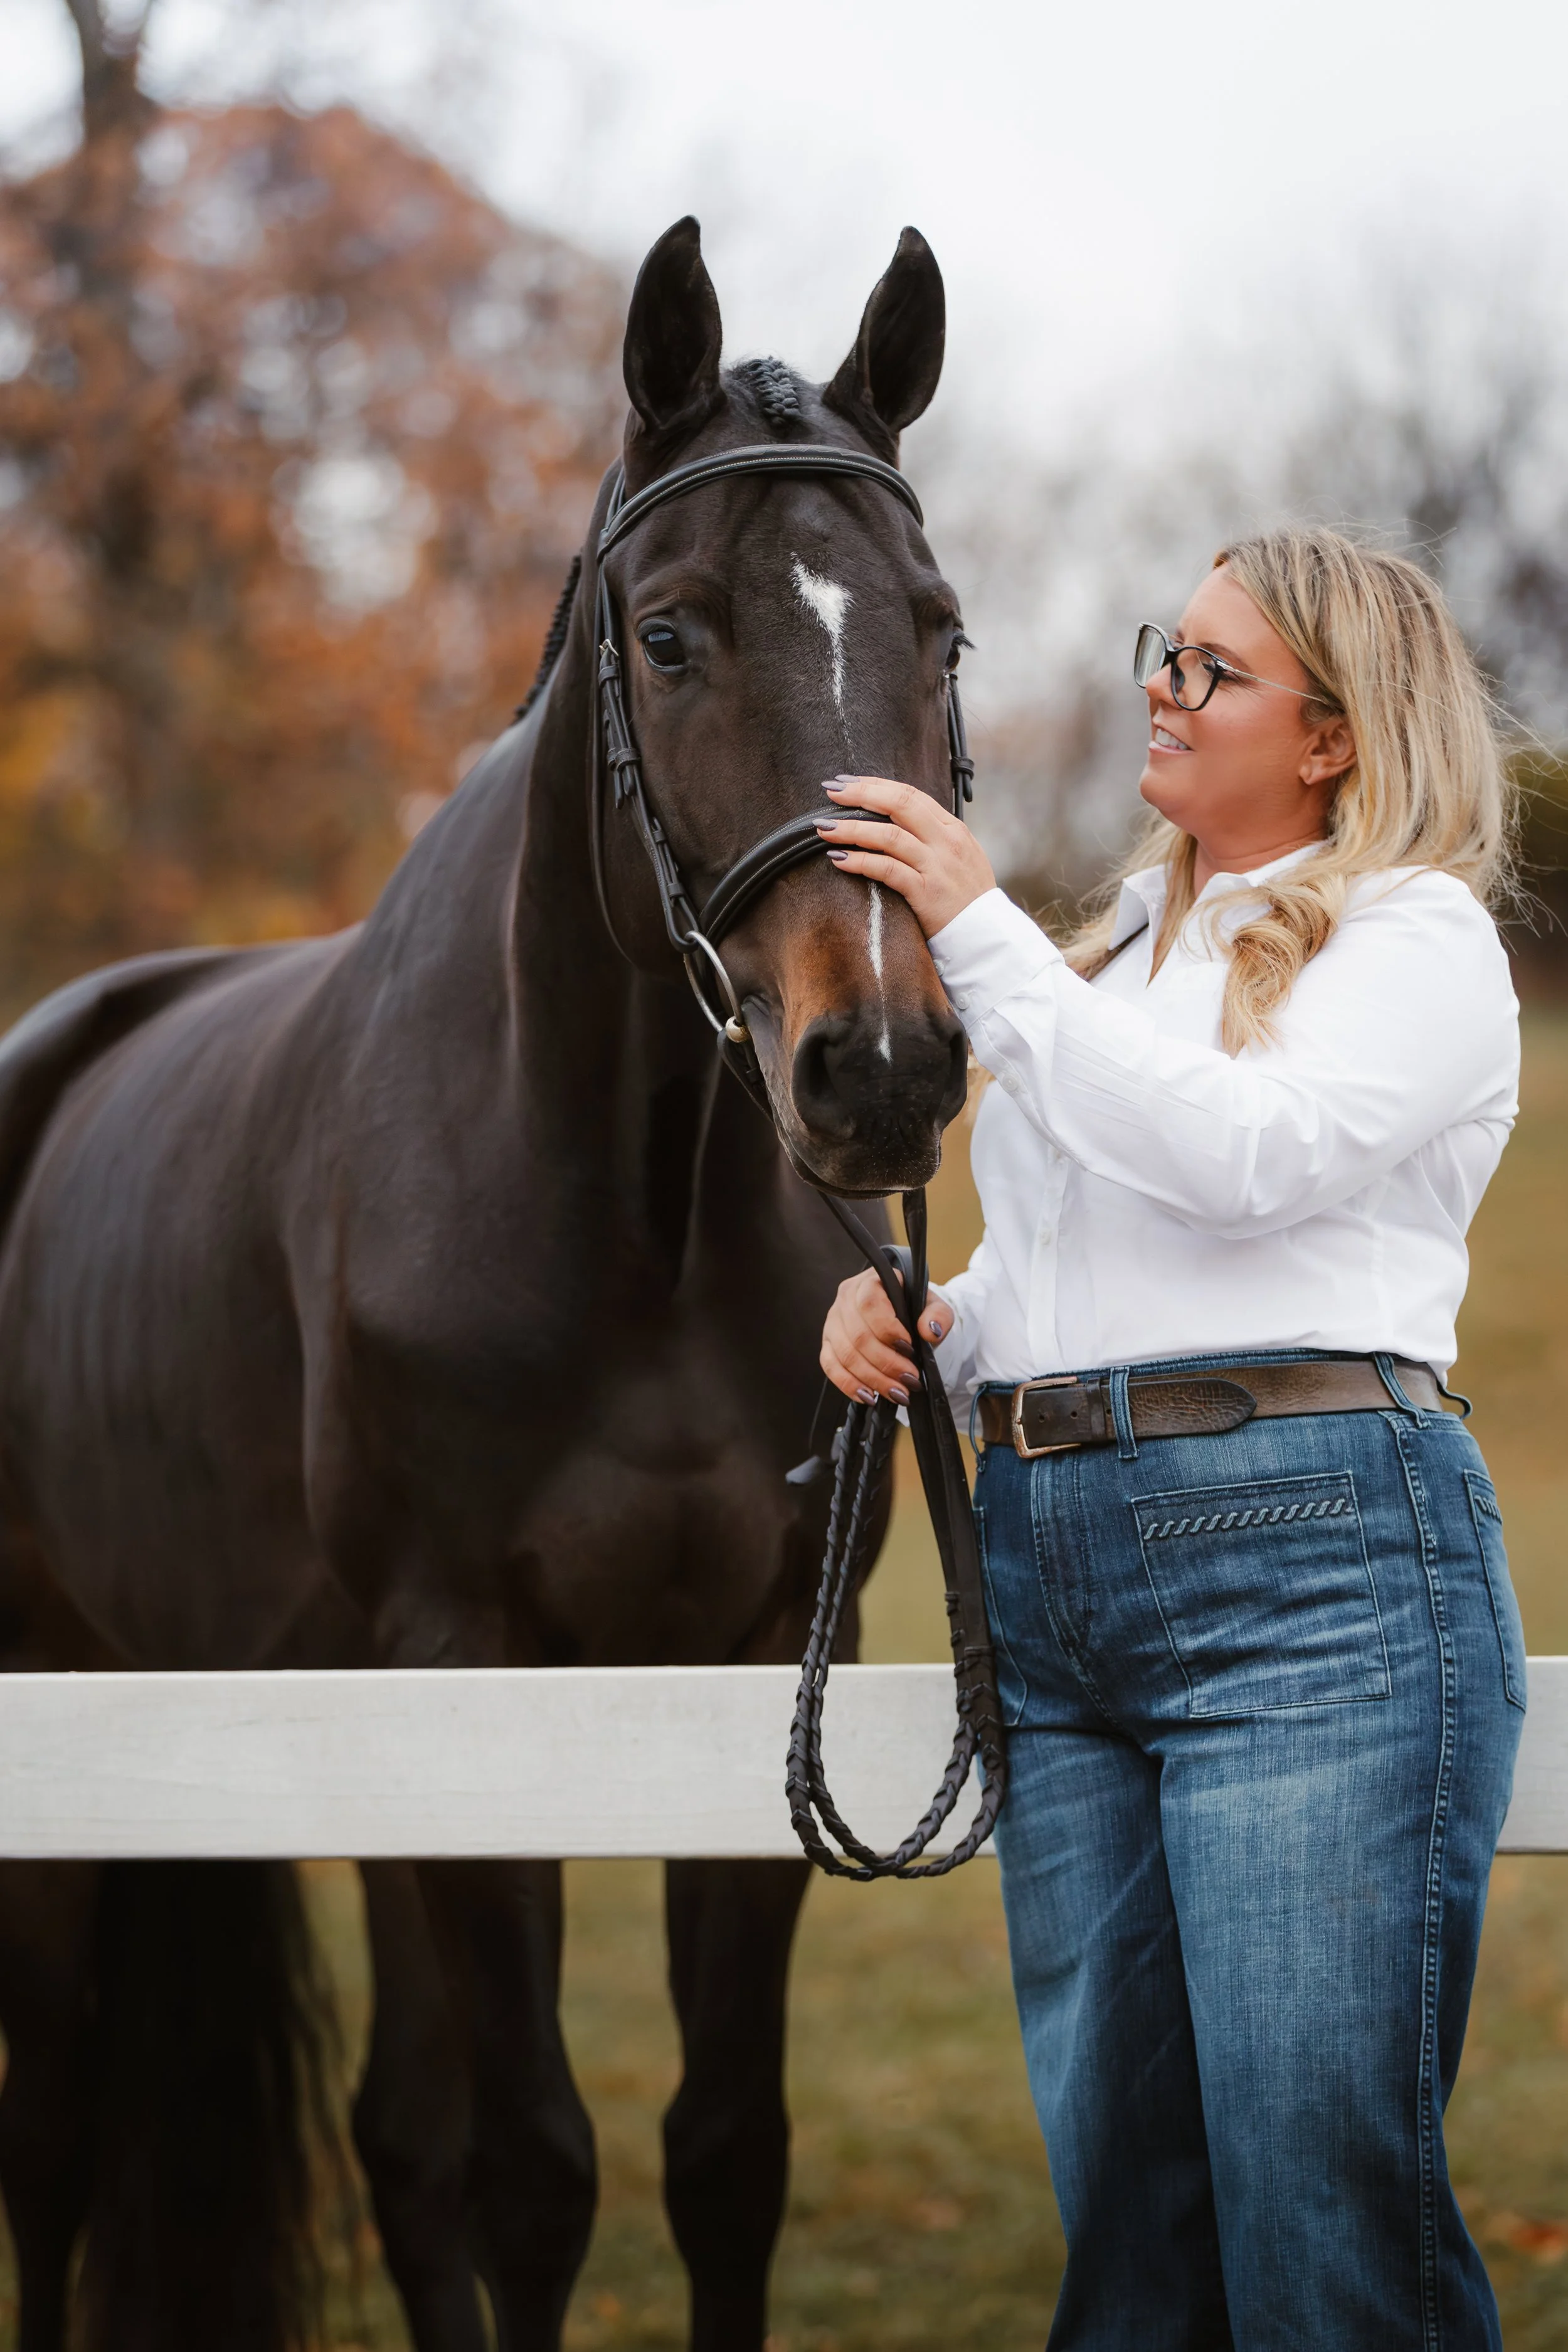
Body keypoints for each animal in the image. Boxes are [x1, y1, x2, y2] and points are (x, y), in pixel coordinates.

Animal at [0, 215, 971, 2352]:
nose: (878, 1068)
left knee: (388, 2135)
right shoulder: (473, 1649)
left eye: (935, 630)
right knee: (58, 2116)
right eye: (672, 634)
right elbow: (537, 2170)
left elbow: (716, 2152)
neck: (628, 1215)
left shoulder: (753, 1656)